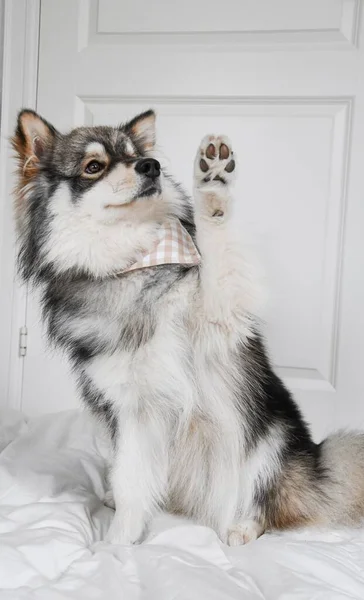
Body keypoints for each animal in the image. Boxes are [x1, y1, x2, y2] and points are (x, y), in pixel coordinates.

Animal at [11, 108, 364, 544]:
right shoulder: (132, 410)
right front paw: (118, 543)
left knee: (266, 505)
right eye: (94, 166)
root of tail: (317, 466)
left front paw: (213, 184)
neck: (137, 262)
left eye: (135, 155)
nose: (151, 166)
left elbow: (216, 244)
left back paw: (242, 526)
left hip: (271, 437)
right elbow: (131, 483)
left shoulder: (219, 316)